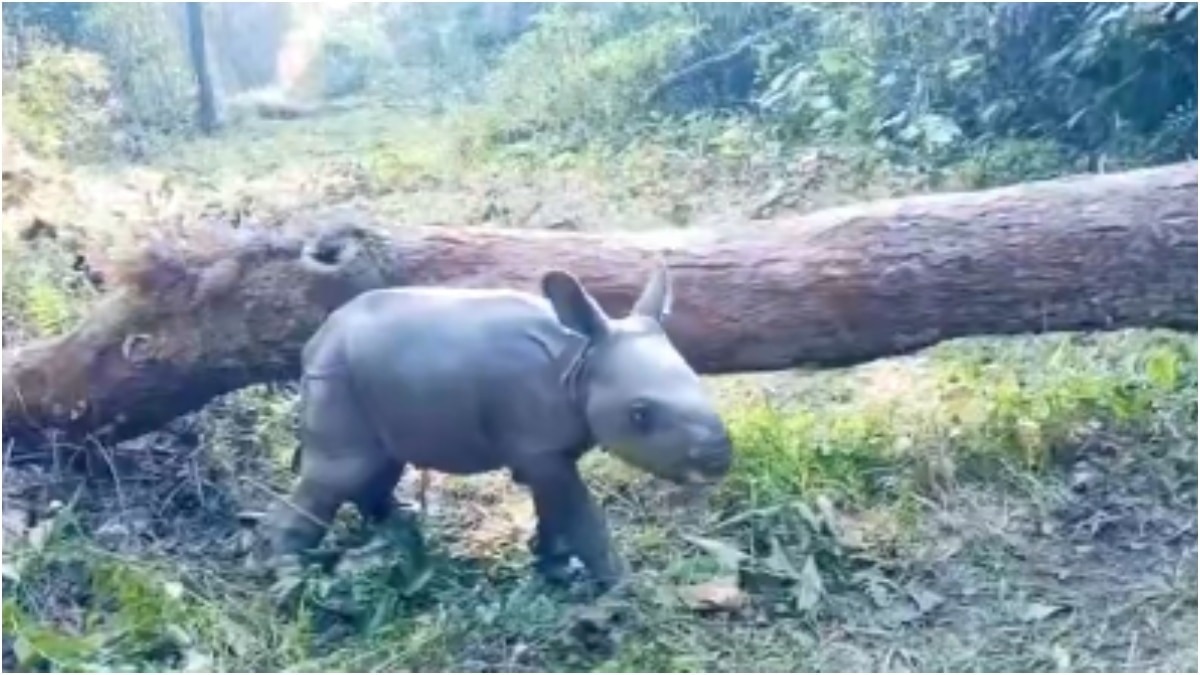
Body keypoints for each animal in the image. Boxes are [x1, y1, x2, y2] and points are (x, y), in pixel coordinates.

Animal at [267, 262, 734, 589]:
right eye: (639, 414)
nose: (718, 462)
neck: (581, 362)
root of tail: (318, 337)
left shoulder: (548, 449)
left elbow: (555, 510)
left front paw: (554, 569)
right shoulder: (541, 448)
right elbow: (580, 516)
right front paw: (622, 589)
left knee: (377, 461)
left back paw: (399, 524)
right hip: (335, 376)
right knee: (339, 471)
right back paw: (285, 579)